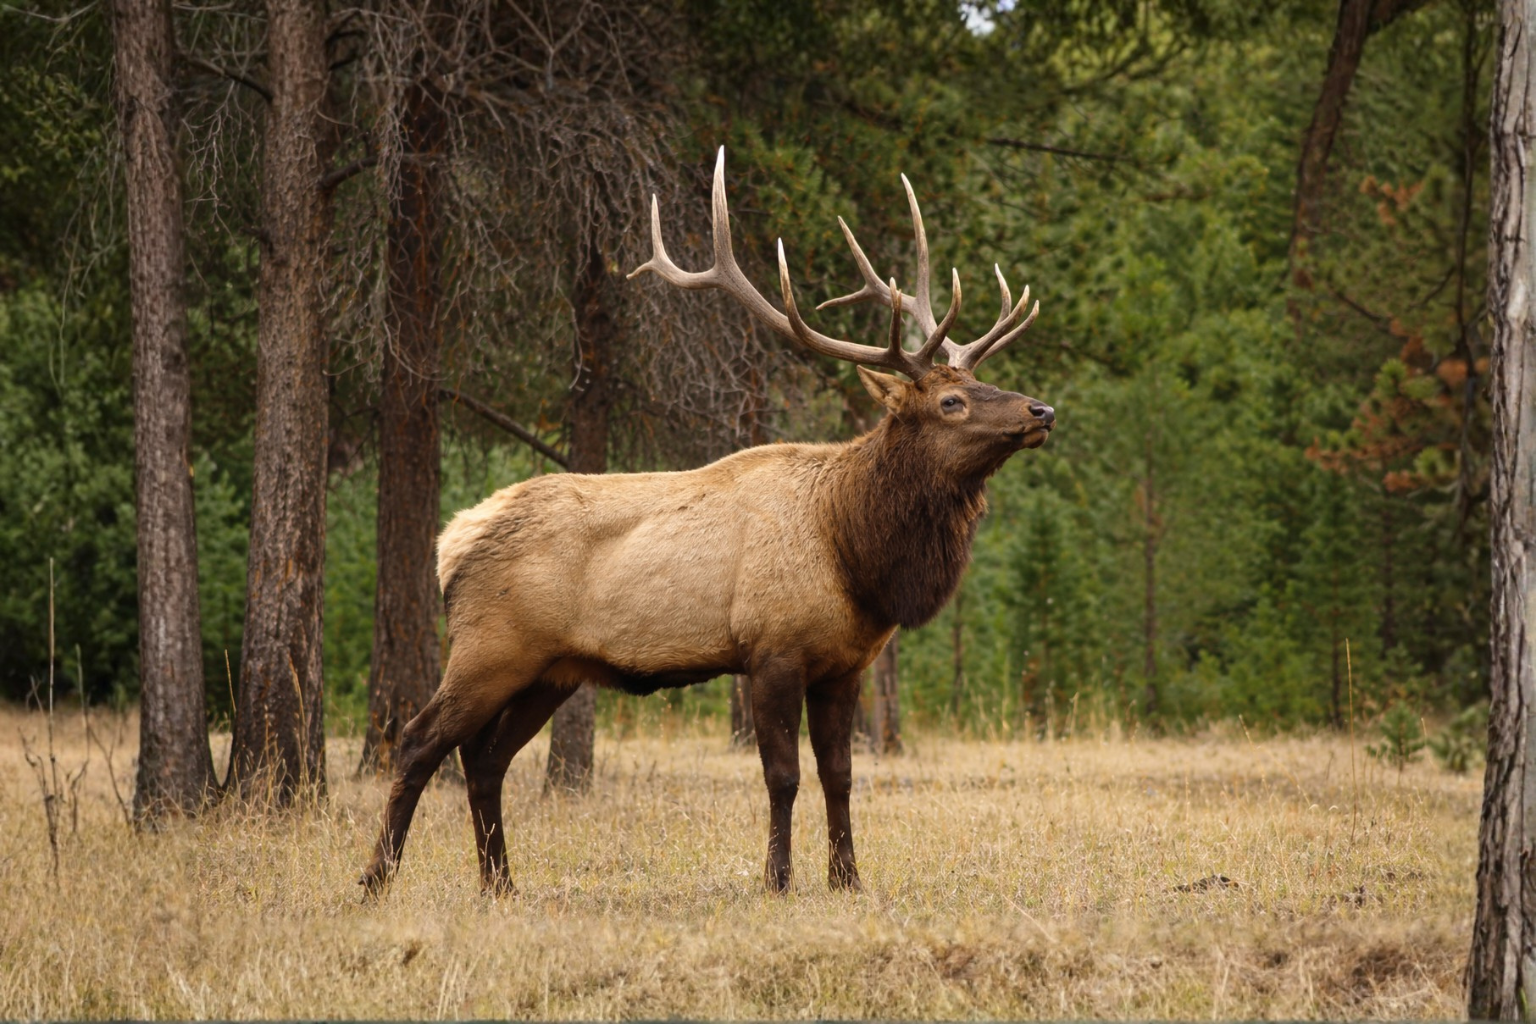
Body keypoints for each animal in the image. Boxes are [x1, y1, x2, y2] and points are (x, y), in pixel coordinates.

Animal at [360, 149, 1055, 898]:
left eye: (981, 383)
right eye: (952, 401)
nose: (1041, 410)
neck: (854, 554)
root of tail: (450, 541)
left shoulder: (844, 665)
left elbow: (840, 777)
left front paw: (847, 879)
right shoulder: (771, 649)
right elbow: (783, 777)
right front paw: (777, 878)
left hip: (551, 669)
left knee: (485, 759)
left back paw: (500, 884)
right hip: (490, 646)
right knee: (419, 741)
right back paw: (376, 879)